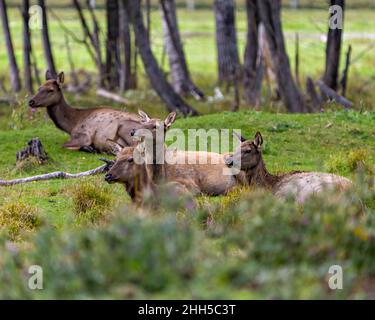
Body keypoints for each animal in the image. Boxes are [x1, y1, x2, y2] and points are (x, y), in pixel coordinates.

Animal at [28, 70, 164, 155]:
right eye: (39, 88)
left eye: (50, 90)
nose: (31, 101)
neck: (71, 124)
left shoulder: (84, 135)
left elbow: (63, 144)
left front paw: (89, 148)